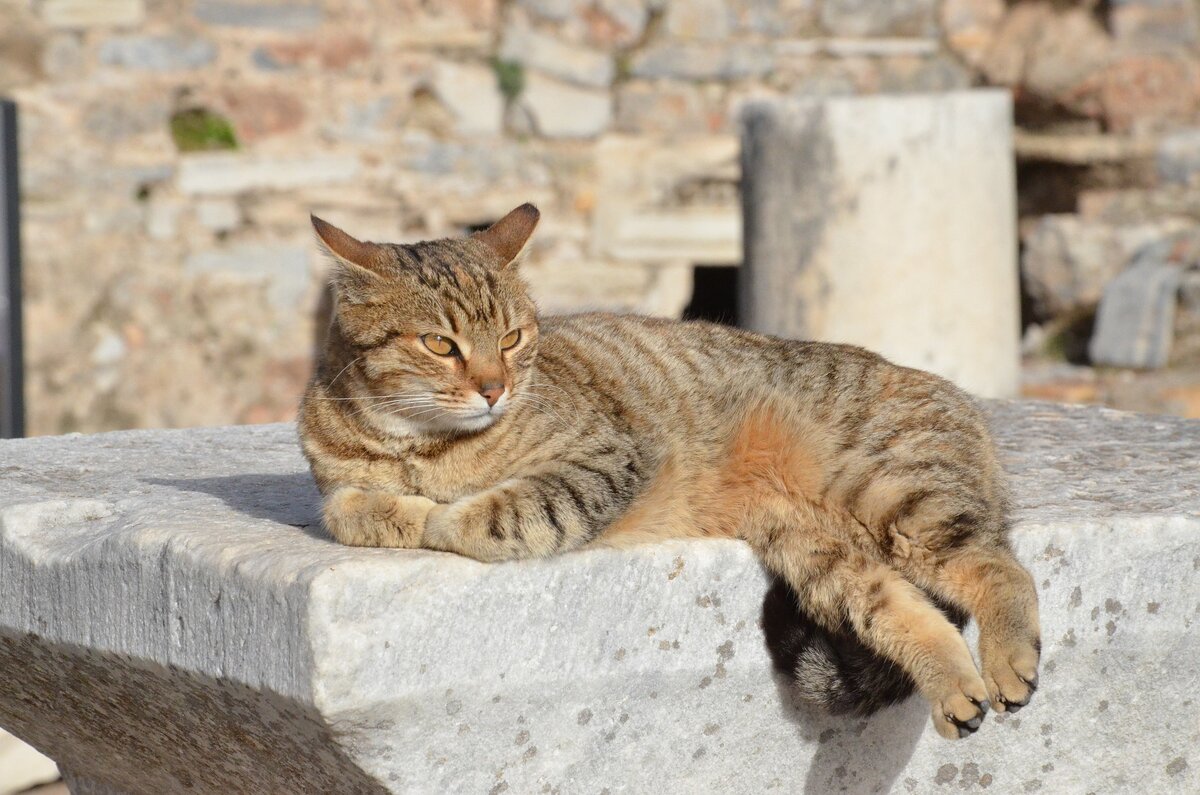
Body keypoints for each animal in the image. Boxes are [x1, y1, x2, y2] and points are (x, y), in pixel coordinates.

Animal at [300, 204, 1041, 739]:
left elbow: (487, 516)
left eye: (511, 338)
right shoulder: (334, 485)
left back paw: (1009, 662)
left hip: (894, 492)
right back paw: (957, 691)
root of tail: (972, 410)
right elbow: (348, 506)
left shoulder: (606, 459)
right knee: (909, 611)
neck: (418, 444)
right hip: (820, 554)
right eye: (440, 344)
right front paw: (396, 508)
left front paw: (436, 513)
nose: (493, 388)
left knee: (1002, 568)